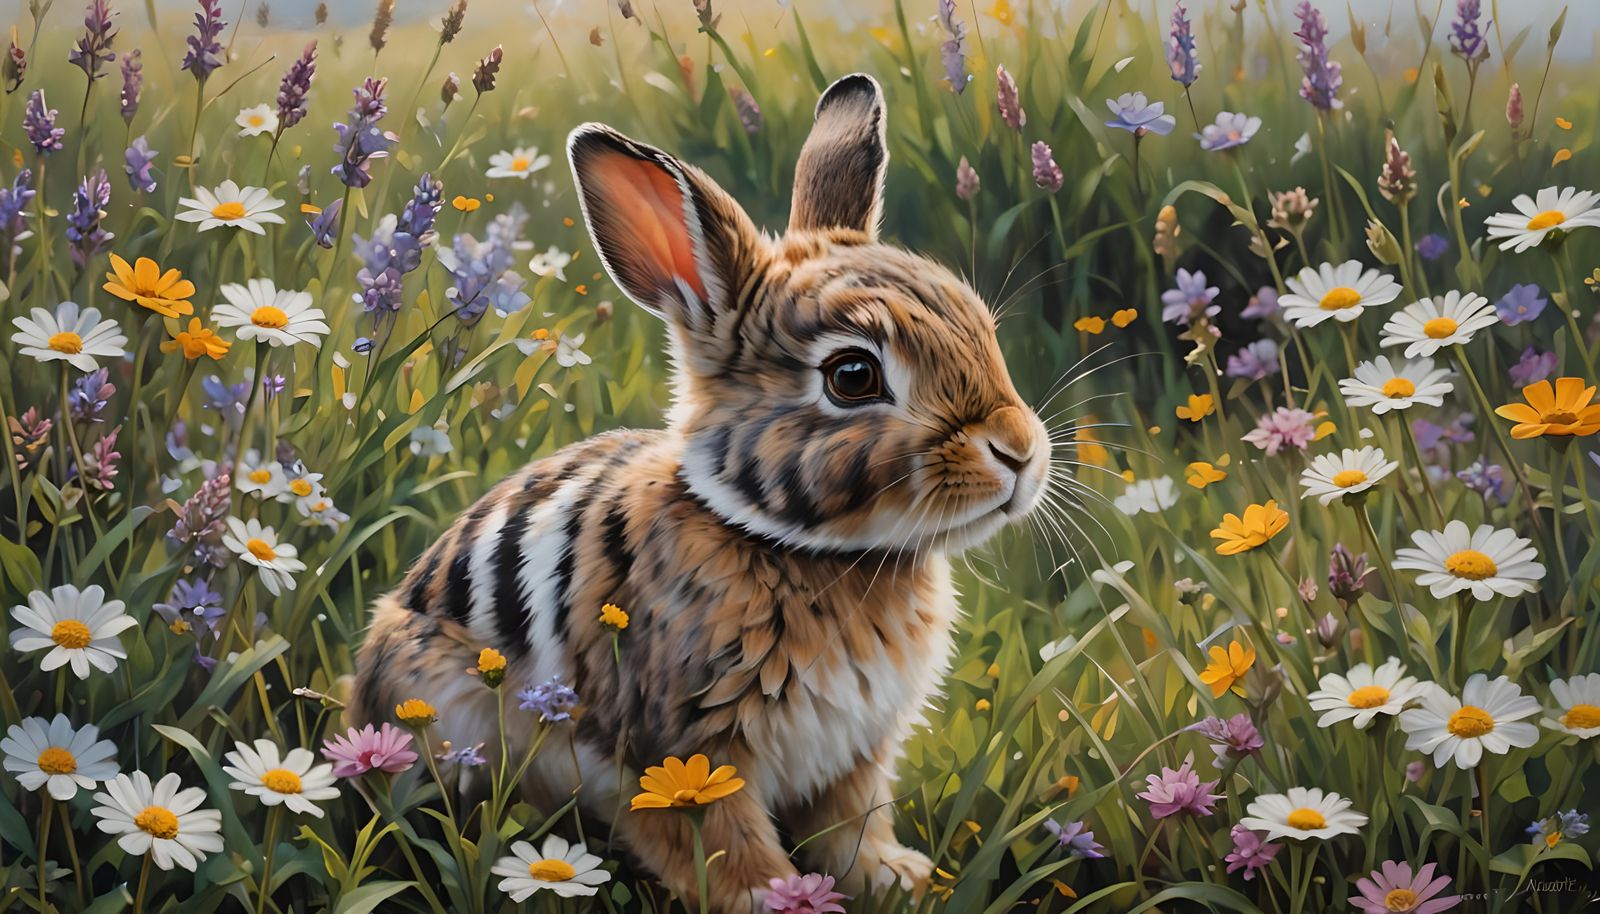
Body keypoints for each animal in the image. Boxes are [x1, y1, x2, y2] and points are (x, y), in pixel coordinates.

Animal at [352, 73, 1051, 912]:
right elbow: (722, 842)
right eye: (852, 376)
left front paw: (895, 879)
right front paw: (780, 898)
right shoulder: (682, 747)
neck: (798, 547)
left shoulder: (855, 750)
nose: (1020, 451)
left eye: (983, 327)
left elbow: (852, 826)